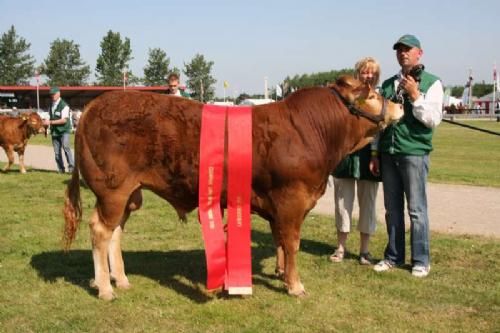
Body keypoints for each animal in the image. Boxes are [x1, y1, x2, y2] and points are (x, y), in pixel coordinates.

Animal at [63, 75, 402, 298]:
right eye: (373, 95)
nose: (399, 105)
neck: (310, 131)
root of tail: (94, 105)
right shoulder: (292, 198)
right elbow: (291, 243)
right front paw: (295, 285)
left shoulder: (280, 205)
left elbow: (281, 241)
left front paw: (280, 273)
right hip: (113, 190)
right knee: (100, 230)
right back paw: (105, 288)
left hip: (130, 194)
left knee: (116, 232)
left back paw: (120, 279)